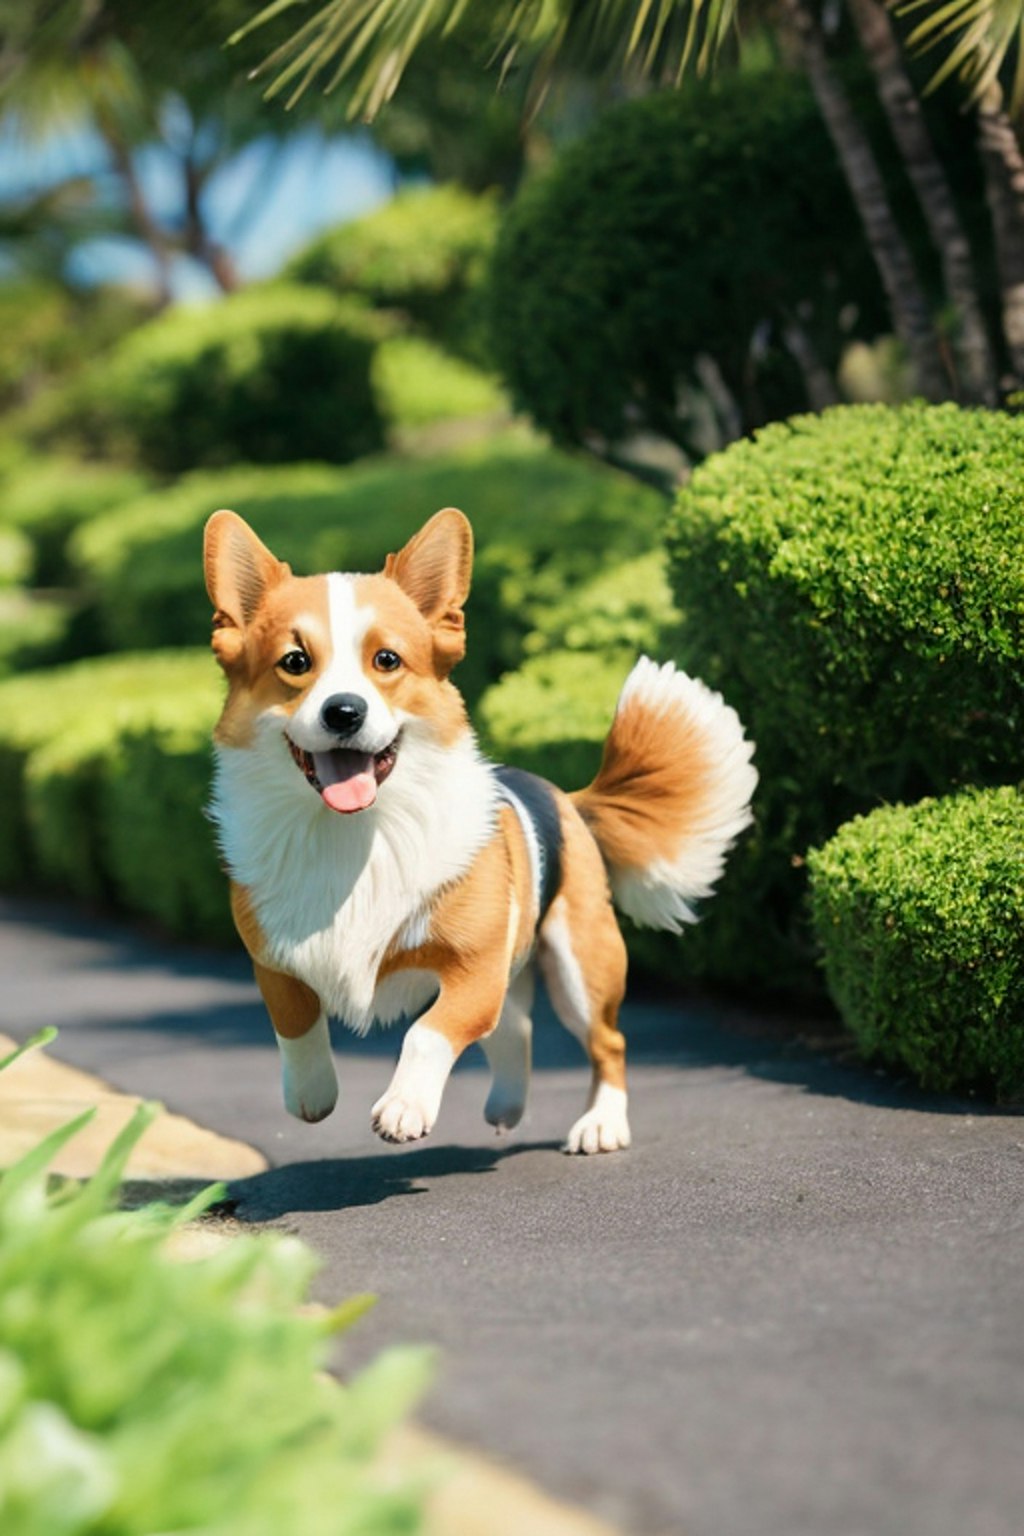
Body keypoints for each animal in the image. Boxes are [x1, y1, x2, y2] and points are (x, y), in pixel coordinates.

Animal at [204, 509, 758, 1155]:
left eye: (387, 661)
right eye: (294, 662)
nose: (344, 711)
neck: (355, 834)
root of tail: (568, 797)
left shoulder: (474, 968)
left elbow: (427, 1032)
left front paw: (404, 1107)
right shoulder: (272, 959)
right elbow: (294, 1020)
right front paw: (312, 1094)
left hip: (581, 963)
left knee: (605, 1040)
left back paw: (602, 1123)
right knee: (513, 1027)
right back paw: (507, 1104)